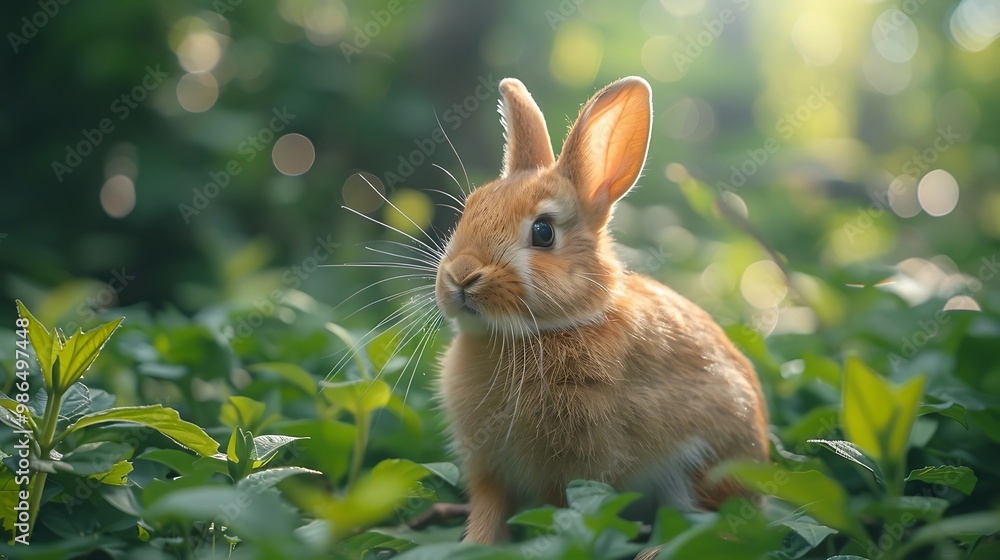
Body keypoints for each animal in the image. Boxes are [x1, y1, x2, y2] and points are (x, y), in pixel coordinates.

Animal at [434, 76, 769, 545]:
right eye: (470, 209)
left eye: (543, 232)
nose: (461, 275)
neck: (546, 330)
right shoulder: (489, 472)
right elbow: (487, 512)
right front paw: (477, 546)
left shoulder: (568, 471)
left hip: (698, 466)